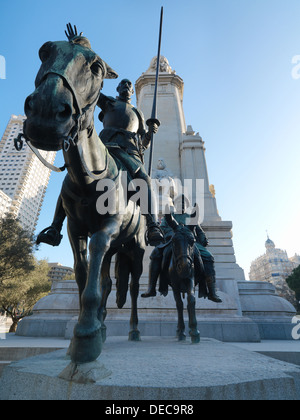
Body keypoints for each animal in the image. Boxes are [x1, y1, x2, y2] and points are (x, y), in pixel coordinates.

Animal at [20, 32, 146, 364]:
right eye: (45, 51)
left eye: (97, 66)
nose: (47, 112)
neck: (89, 179)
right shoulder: (75, 229)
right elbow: (82, 273)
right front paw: (88, 326)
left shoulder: (106, 229)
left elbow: (94, 267)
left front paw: (87, 334)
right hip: (117, 249)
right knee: (107, 279)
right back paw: (103, 323)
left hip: (136, 249)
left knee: (134, 287)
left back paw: (134, 330)